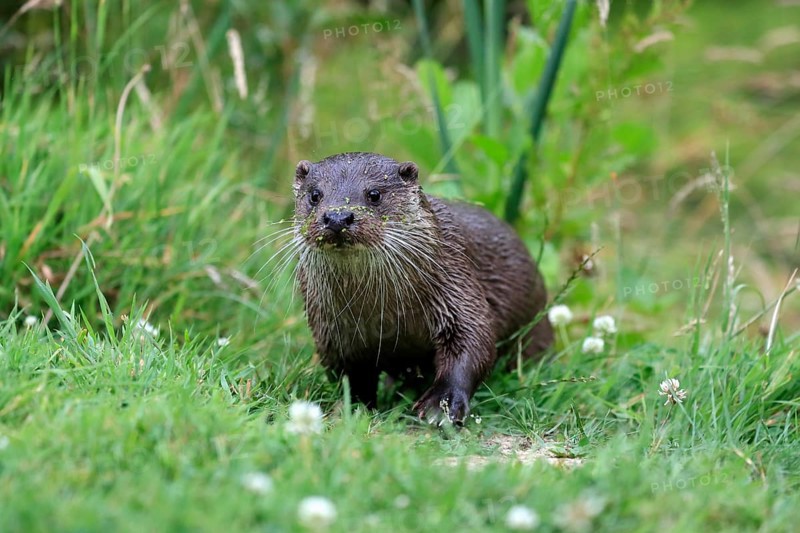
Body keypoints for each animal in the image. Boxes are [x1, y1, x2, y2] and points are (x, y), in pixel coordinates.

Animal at [293, 152, 552, 423]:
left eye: (374, 194)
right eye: (315, 195)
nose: (337, 217)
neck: (387, 313)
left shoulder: (456, 285)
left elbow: (474, 343)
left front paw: (441, 406)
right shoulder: (332, 331)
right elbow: (349, 374)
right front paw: (353, 409)